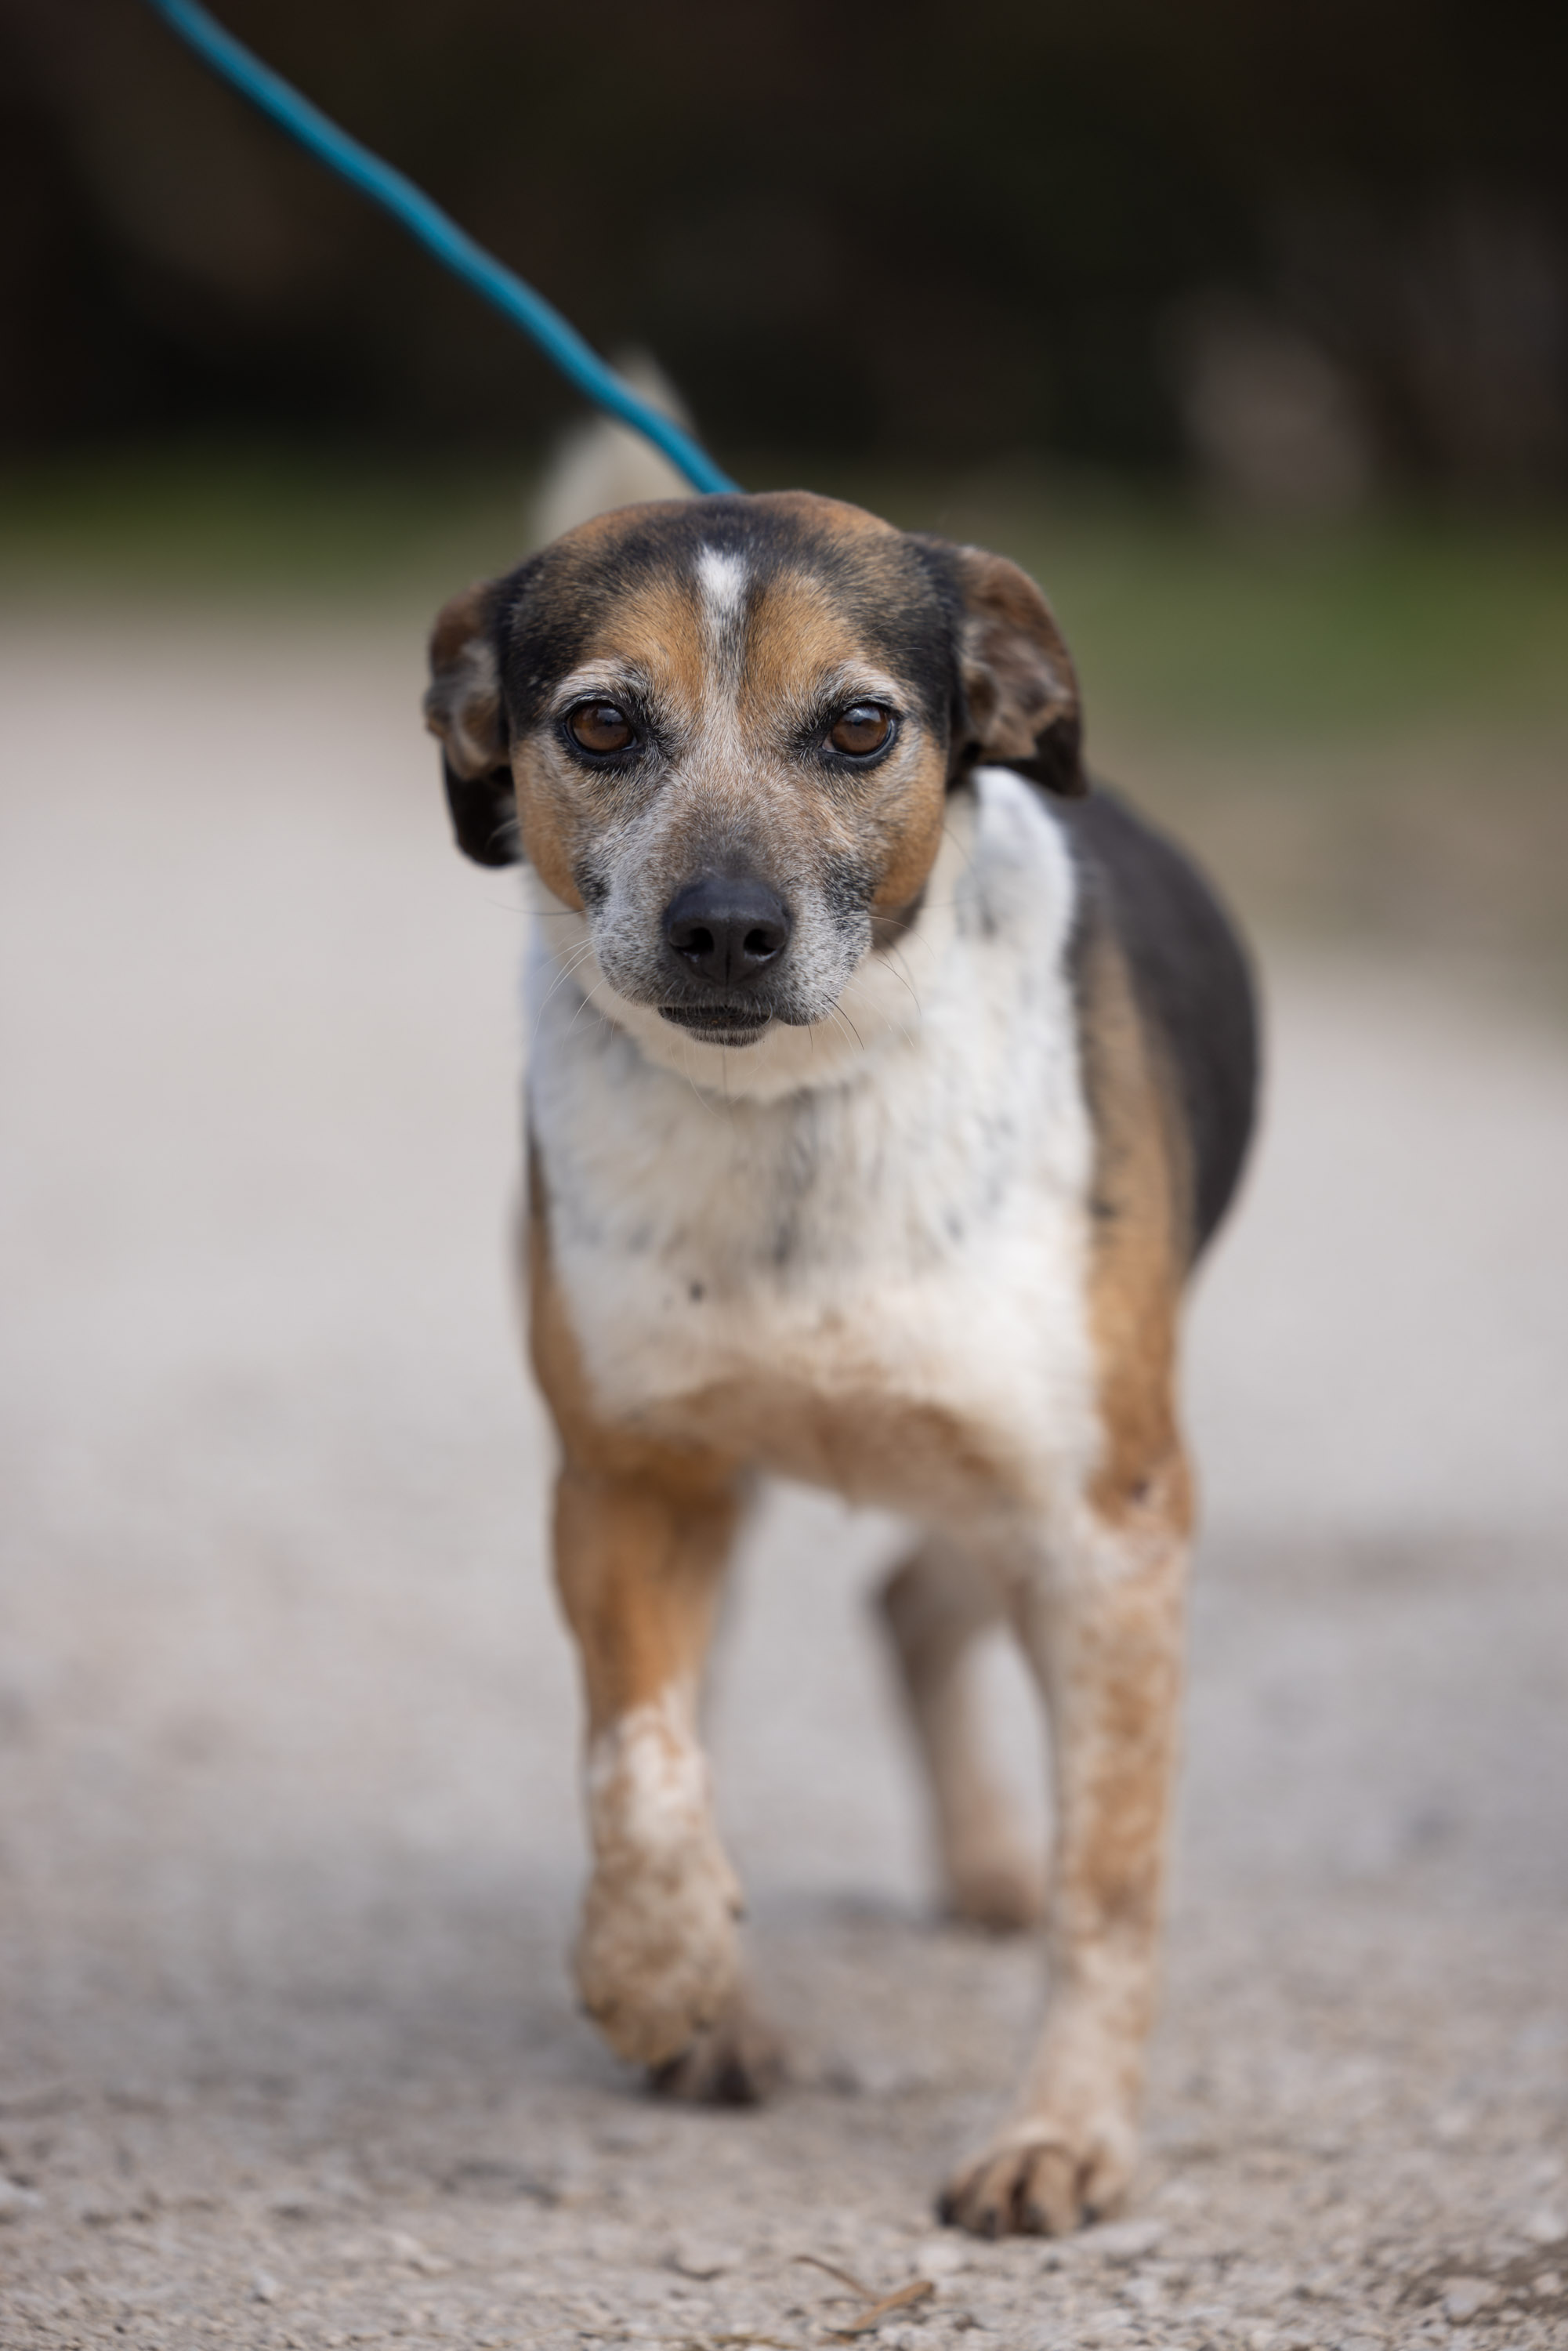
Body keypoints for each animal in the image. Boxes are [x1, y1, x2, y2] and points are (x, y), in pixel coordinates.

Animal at [424, 422, 1258, 2238]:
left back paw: (987, 1872)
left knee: (923, 1609)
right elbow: (638, 1758)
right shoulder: (630, 1476)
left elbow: (1110, 1880)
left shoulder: (1110, 1518)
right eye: (601, 723)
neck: (794, 1111)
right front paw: (656, 1974)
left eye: (861, 726)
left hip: (1037, 1491)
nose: (725, 928)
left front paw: (1061, 2137)